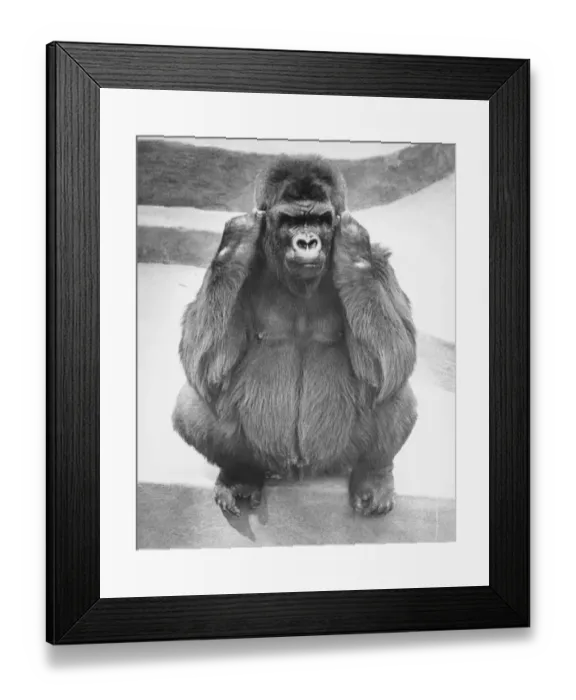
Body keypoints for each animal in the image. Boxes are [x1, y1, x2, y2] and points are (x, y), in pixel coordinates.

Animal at [172, 154, 418, 518]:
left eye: (320, 220)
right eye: (290, 221)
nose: (307, 243)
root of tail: (299, 472)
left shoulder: (380, 262)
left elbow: (397, 358)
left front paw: (352, 249)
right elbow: (204, 367)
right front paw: (236, 243)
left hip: (336, 460)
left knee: (397, 392)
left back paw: (373, 474)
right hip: (268, 458)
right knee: (192, 401)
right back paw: (240, 474)